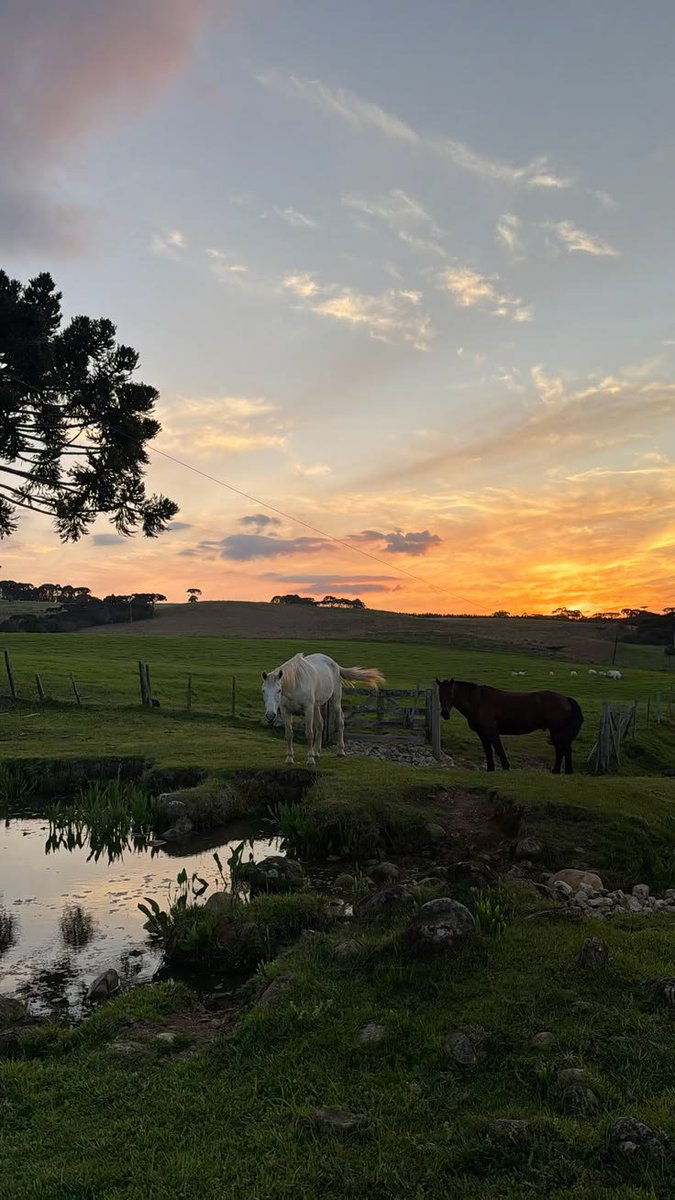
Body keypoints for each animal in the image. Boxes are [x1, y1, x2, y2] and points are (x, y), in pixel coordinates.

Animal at [435, 678, 583, 774]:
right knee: (564, 749)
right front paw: (490, 769)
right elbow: (488, 750)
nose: (444, 713)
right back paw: (564, 772)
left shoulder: (491, 731)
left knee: (562, 750)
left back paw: (558, 771)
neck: (478, 701)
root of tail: (566, 699)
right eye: (439, 694)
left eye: (451, 694)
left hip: (557, 731)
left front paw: (505, 767)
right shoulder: (482, 734)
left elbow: (498, 748)